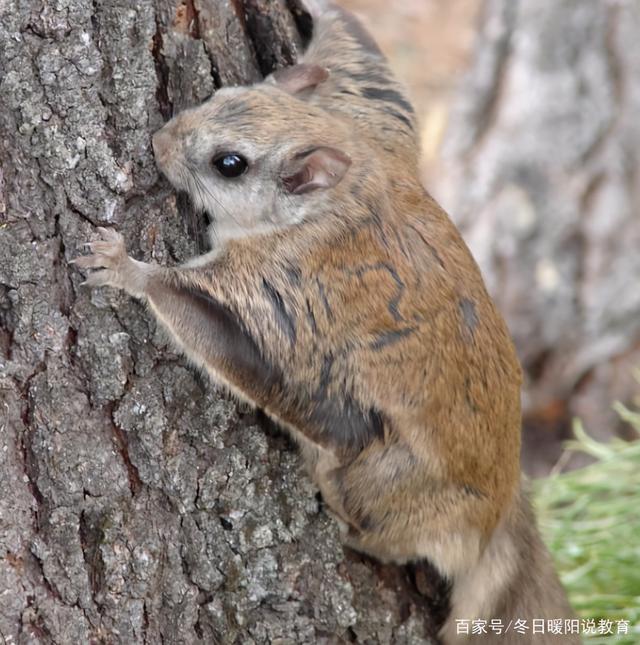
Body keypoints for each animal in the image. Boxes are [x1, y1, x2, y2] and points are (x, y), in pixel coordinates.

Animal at [72, 2, 576, 640]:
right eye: (222, 92)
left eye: (229, 164)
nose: (159, 140)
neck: (338, 195)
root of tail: (501, 508)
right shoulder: (378, 123)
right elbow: (364, 63)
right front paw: (325, 12)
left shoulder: (278, 287)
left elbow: (210, 324)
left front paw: (126, 269)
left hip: (384, 477)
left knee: (390, 533)